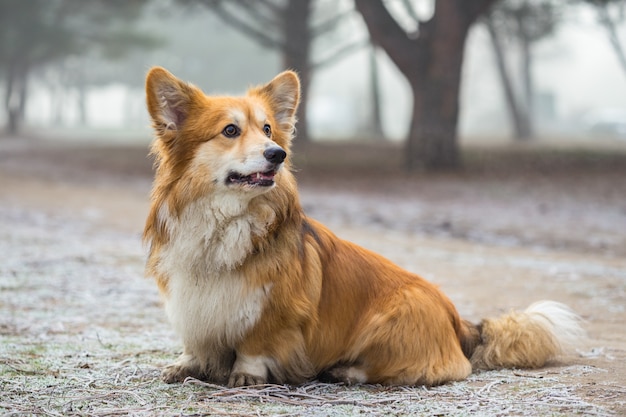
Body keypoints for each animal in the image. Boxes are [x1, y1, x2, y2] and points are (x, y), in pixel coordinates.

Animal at [144, 66, 584, 386]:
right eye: (230, 131)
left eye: (267, 129)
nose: (277, 154)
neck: (223, 218)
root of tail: (458, 319)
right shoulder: (189, 299)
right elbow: (195, 342)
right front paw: (188, 364)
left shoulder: (273, 309)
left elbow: (254, 346)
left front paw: (245, 374)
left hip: (386, 323)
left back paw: (345, 370)